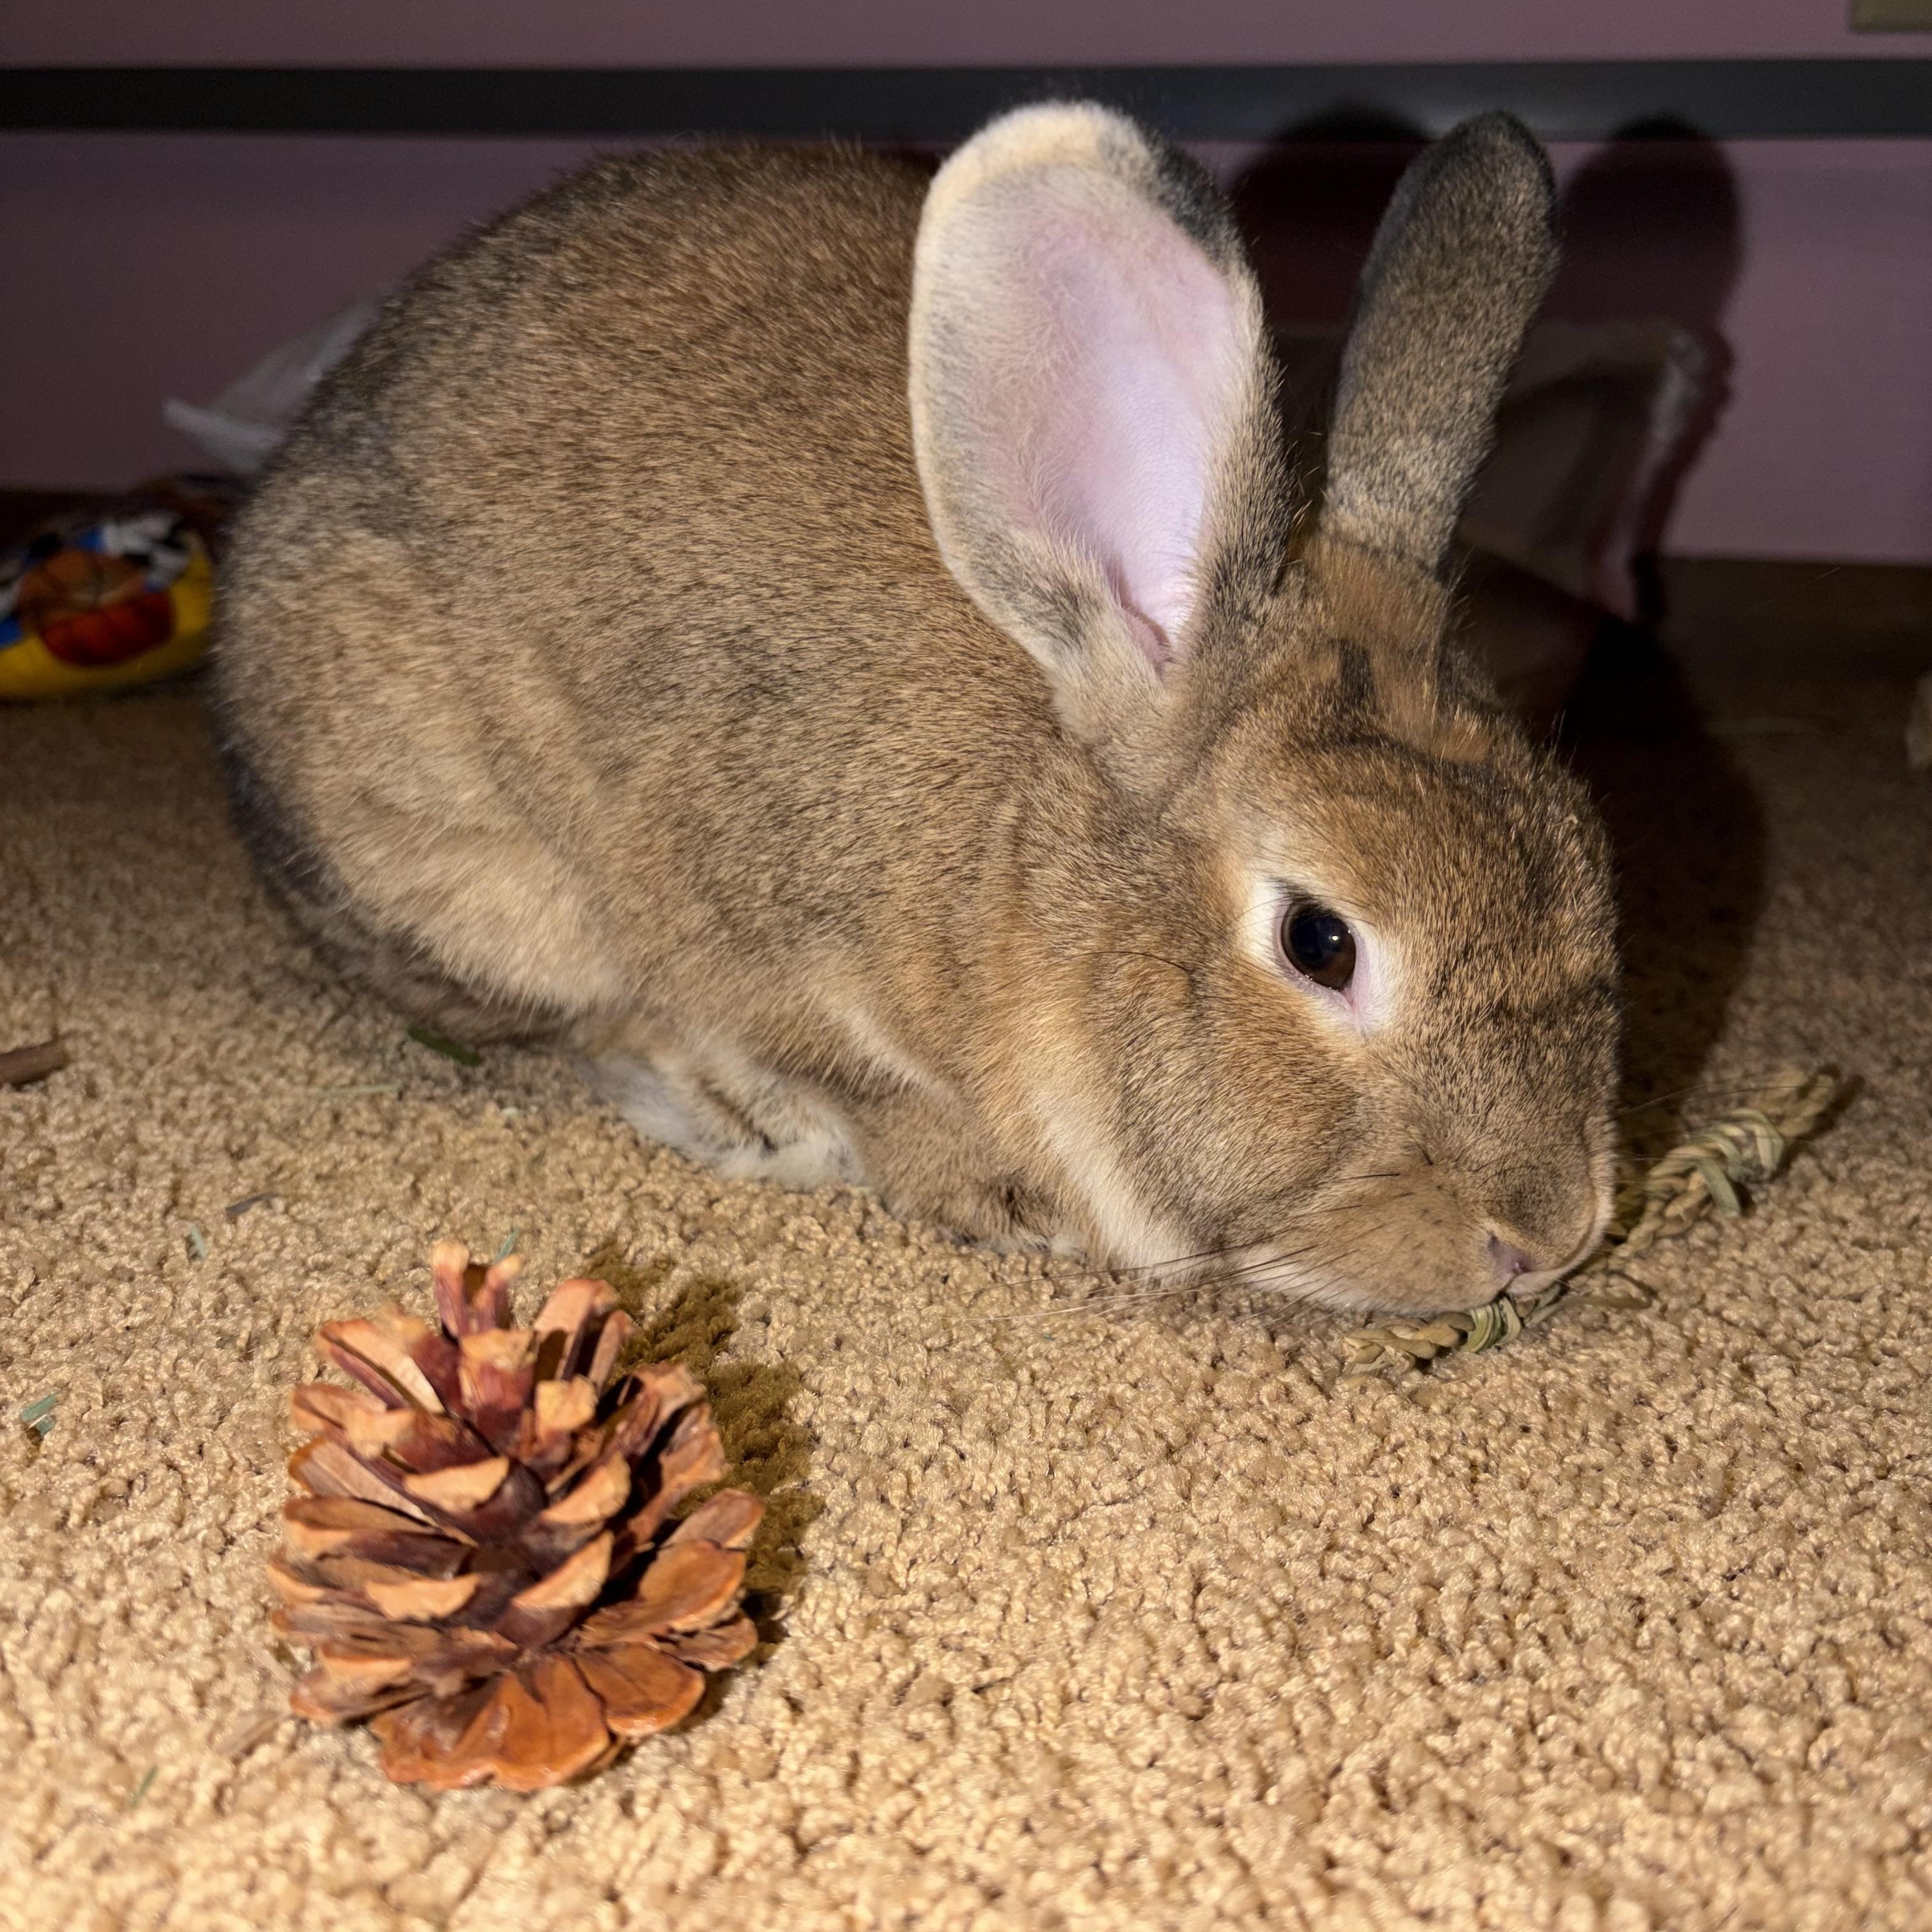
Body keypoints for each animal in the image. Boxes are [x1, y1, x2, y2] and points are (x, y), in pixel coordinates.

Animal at [212, 101, 1621, 1315]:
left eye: (1588, 859)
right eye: (1321, 942)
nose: (1546, 1236)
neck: (1026, 874)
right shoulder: (746, 919)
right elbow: (809, 1063)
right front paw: (975, 1189)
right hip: (461, 866)